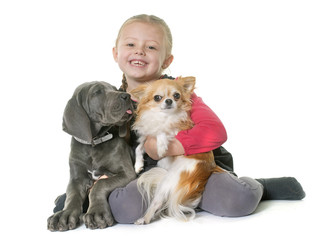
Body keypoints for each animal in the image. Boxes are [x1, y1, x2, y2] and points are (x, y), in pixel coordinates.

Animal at [47, 81, 136, 232]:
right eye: (97, 92)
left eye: (114, 89)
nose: (127, 96)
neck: (94, 144)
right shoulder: (76, 178)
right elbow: (72, 195)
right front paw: (65, 214)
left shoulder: (127, 173)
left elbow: (100, 184)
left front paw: (96, 213)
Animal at [130, 77, 222, 225]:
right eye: (157, 98)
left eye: (176, 95)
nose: (169, 101)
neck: (162, 117)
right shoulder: (148, 136)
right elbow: (139, 148)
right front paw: (138, 165)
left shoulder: (177, 132)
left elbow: (162, 131)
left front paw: (161, 147)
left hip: (171, 179)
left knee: (157, 202)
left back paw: (145, 218)